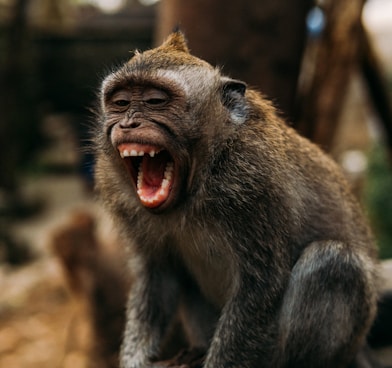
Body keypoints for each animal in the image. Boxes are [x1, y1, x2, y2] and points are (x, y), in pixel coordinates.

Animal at [93, 32, 378, 368]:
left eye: (155, 101)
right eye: (121, 103)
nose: (128, 124)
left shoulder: (253, 181)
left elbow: (260, 287)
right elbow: (158, 274)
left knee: (333, 262)